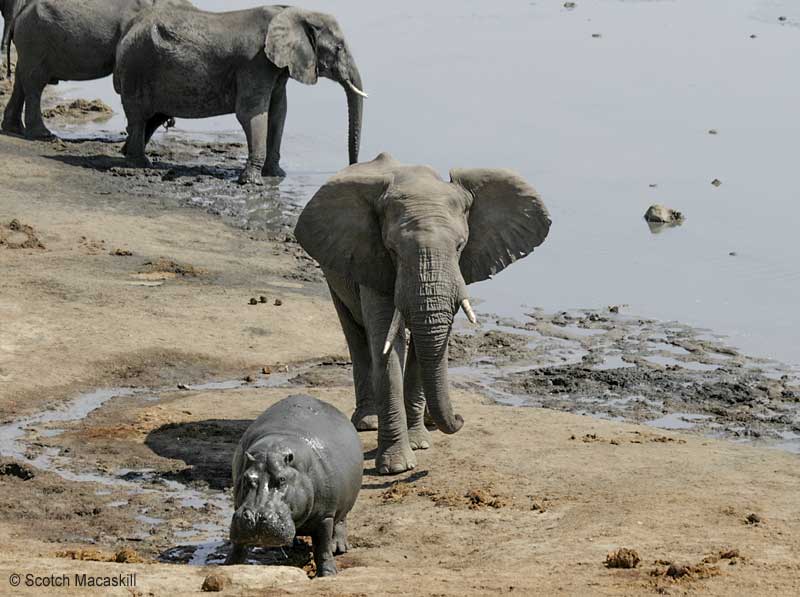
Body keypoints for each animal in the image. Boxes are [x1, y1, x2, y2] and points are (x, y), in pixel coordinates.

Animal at [1, 0, 192, 137]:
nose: (171, 123)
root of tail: (20, 13)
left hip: (30, 43)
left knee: (21, 79)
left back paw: (14, 129)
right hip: (36, 39)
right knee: (35, 82)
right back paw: (43, 135)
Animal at [114, 5, 368, 183]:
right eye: (338, 48)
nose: (349, 169)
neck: (293, 12)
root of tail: (130, 27)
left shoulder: (276, 68)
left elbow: (279, 112)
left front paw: (277, 175)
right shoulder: (256, 63)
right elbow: (252, 113)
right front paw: (252, 182)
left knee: (153, 118)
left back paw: (127, 154)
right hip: (136, 67)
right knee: (139, 117)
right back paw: (140, 164)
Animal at [225, 394, 362, 576]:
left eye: (282, 479)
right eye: (247, 478)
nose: (255, 516)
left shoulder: (325, 516)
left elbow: (322, 547)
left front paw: (327, 574)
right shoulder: (239, 512)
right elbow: (238, 546)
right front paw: (228, 566)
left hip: (345, 502)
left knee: (341, 522)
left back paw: (339, 548)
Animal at [294, 154, 552, 474]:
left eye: (460, 246)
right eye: (392, 249)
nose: (460, 420)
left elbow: (423, 347)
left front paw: (419, 443)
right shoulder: (373, 260)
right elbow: (387, 347)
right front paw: (397, 467)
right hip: (334, 269)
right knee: (356, 335)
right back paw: (368, 421)